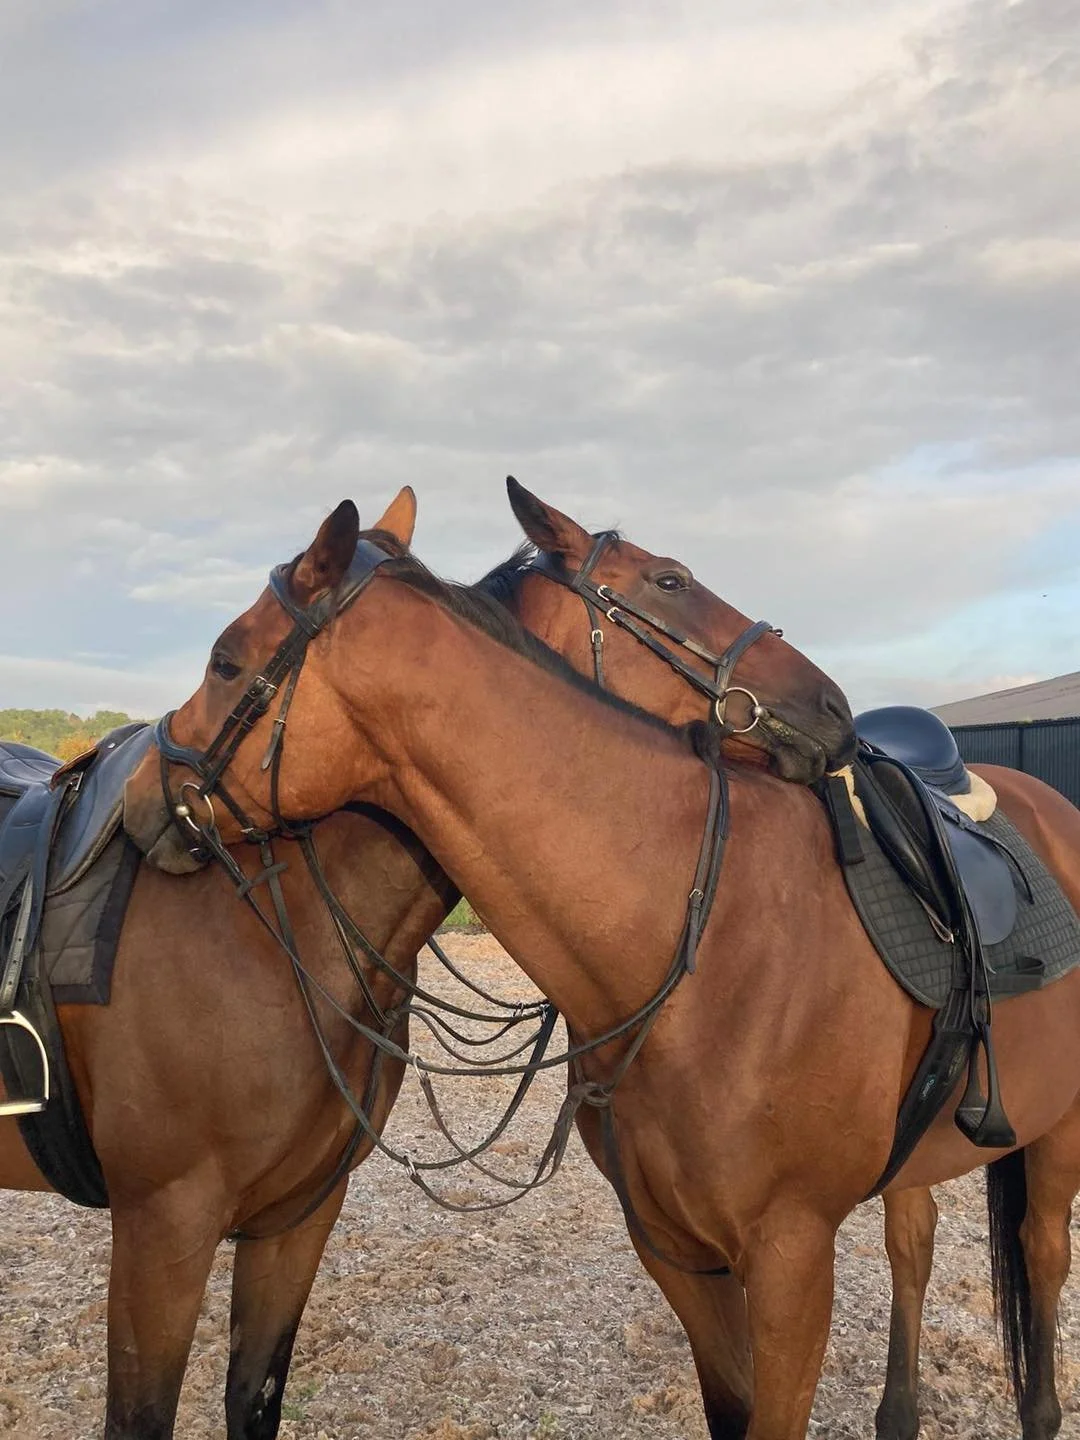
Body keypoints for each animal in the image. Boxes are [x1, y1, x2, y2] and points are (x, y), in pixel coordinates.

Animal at [0, 489, 851, 1440]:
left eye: (225, 662)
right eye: (669, 582)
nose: (835, 707)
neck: (279, 933)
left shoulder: (294, 1218)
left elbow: (254, 1395)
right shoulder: (161, 1229)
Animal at [123, 496, 1080, 1440]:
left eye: (223, 662)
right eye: (670, 582)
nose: (140, 798)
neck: (697, 937)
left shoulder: (793, 1261)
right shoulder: (676, 1251)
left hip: (1057, 1135)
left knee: (1040, 1256)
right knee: (913, 1245)